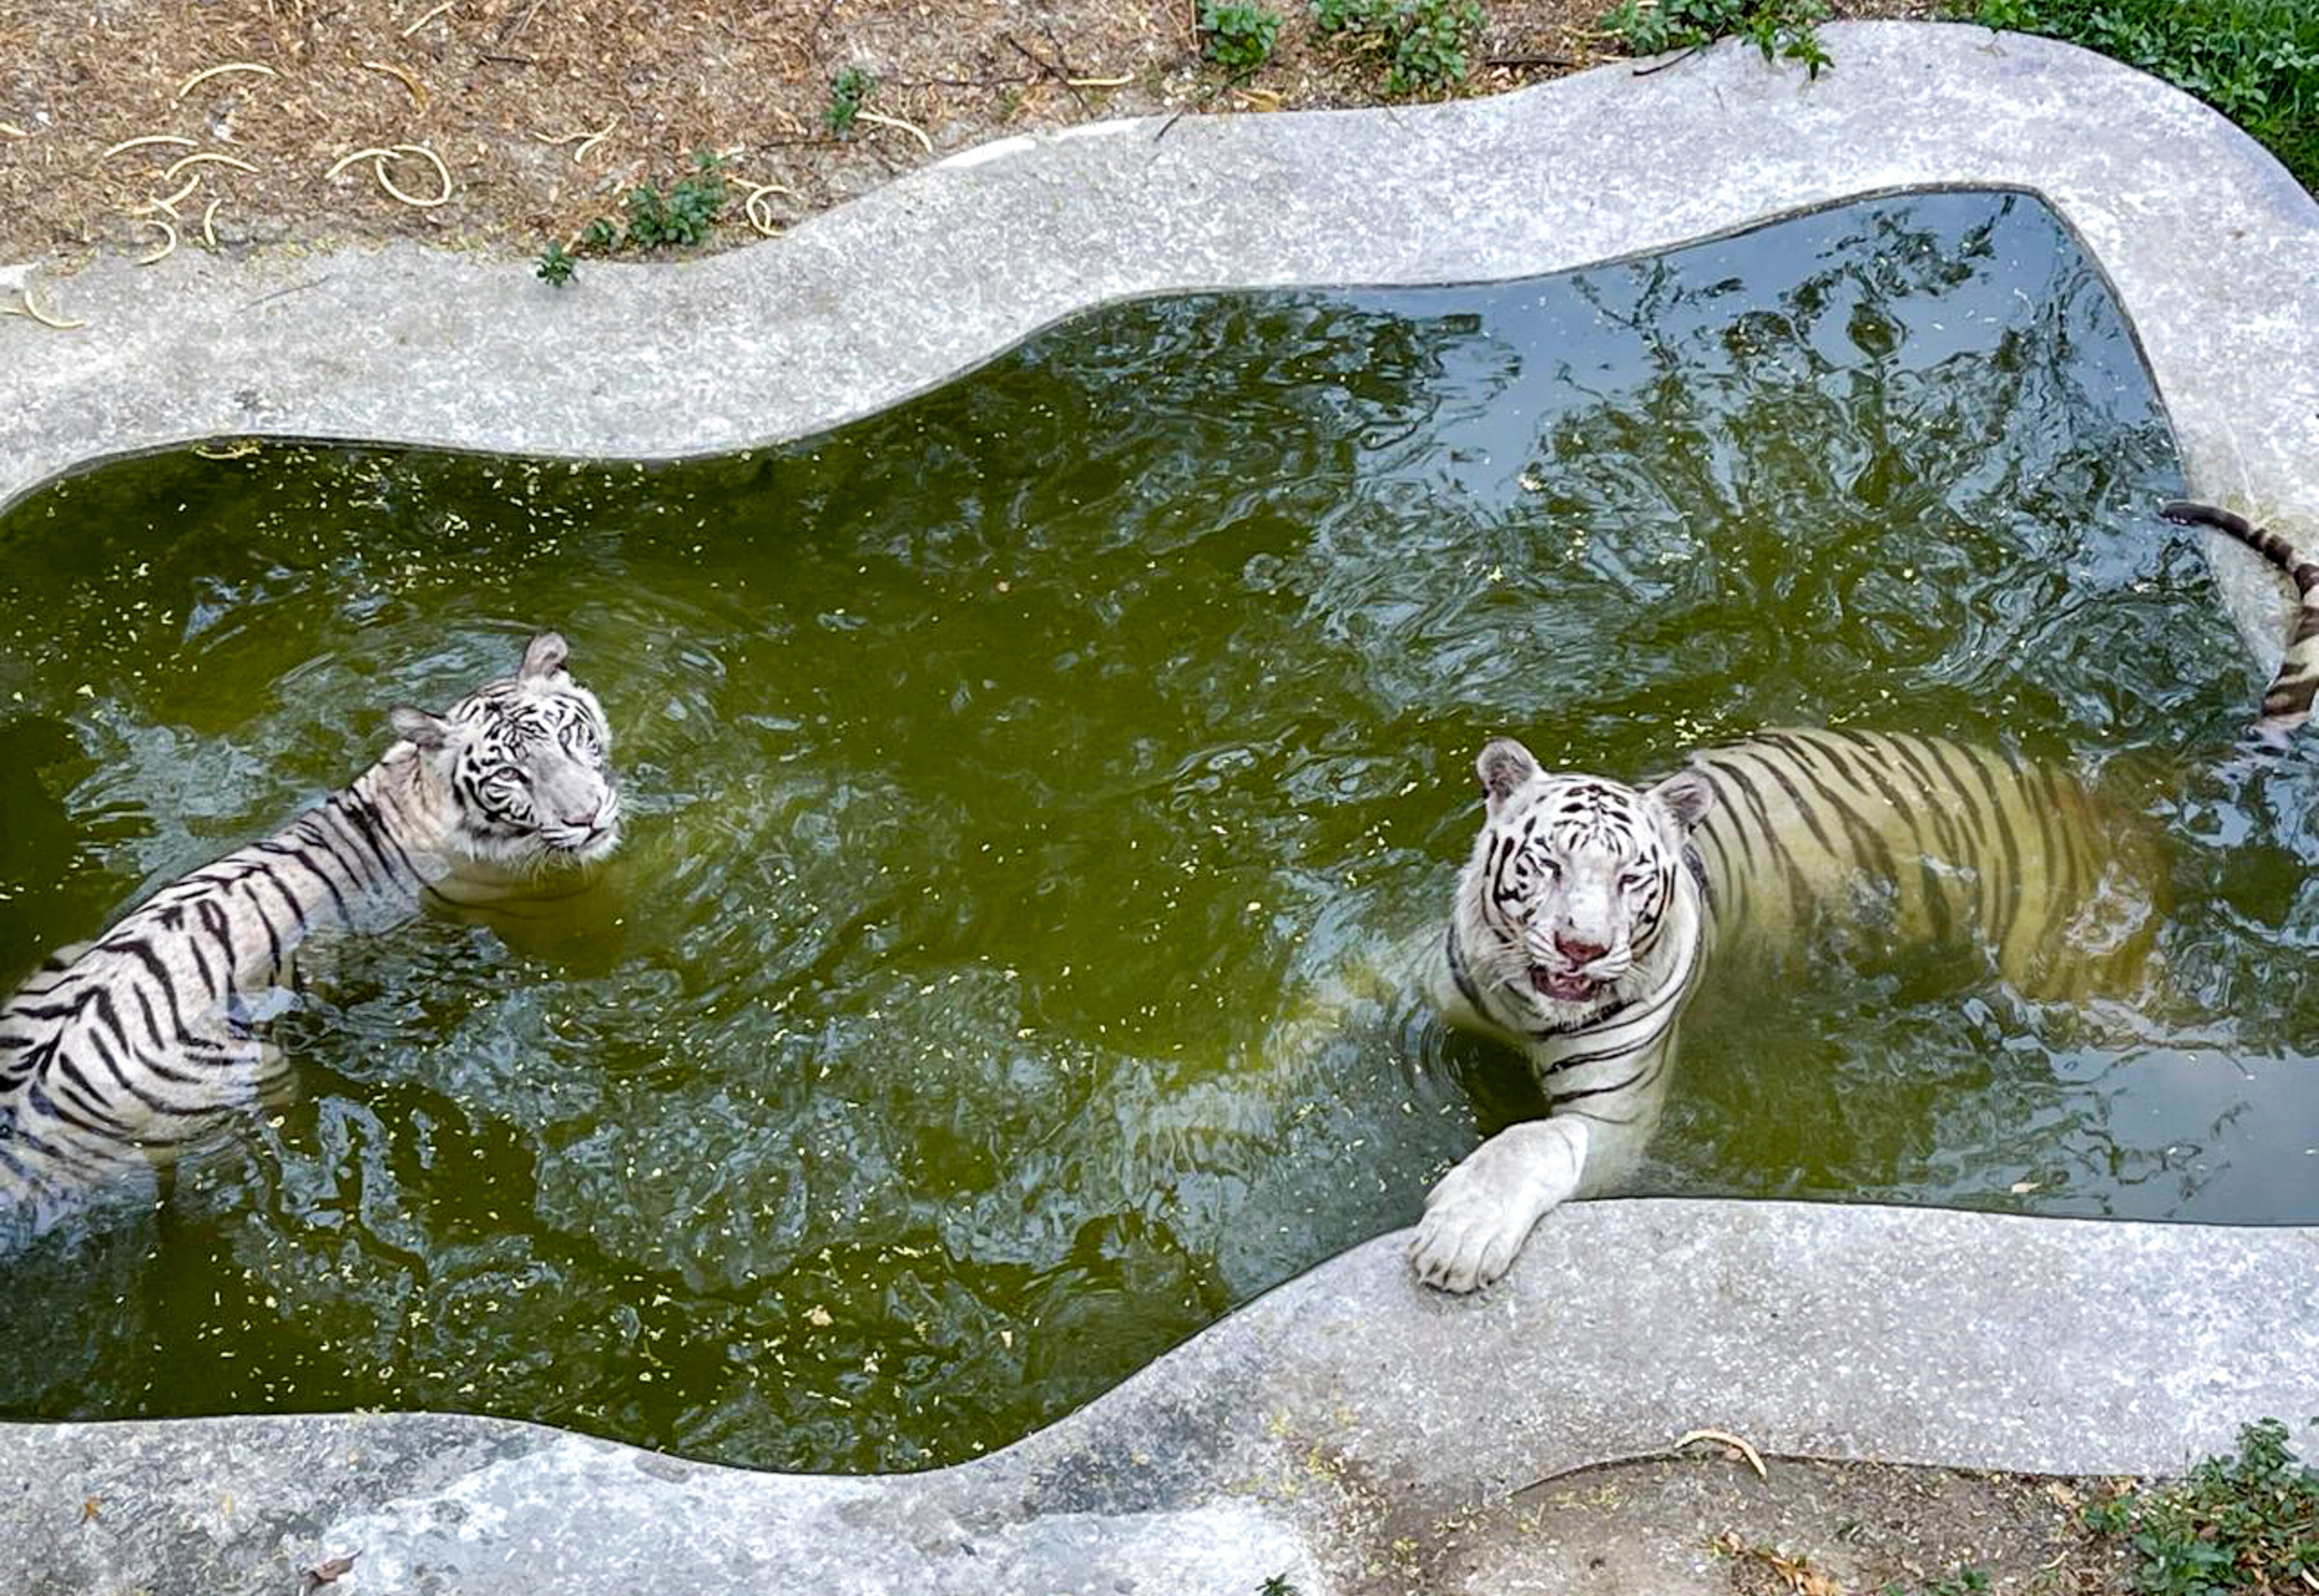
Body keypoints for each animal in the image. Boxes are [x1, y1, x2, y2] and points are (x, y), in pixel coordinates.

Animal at [0, 632, 620, 1249]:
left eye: (567, 737)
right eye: (510, 775)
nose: (589, 816)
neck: (416, 787)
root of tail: (27, 1110)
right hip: (257, 1073)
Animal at [1407, 501, 2319, 1293]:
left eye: (1632, 877)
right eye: (1549, 865)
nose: (1582, 948)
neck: (1521, 1007)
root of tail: (2095, 783)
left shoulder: (1613, 1121)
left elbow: (1533, 1140)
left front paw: (1459, 1234)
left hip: (2088, 985)